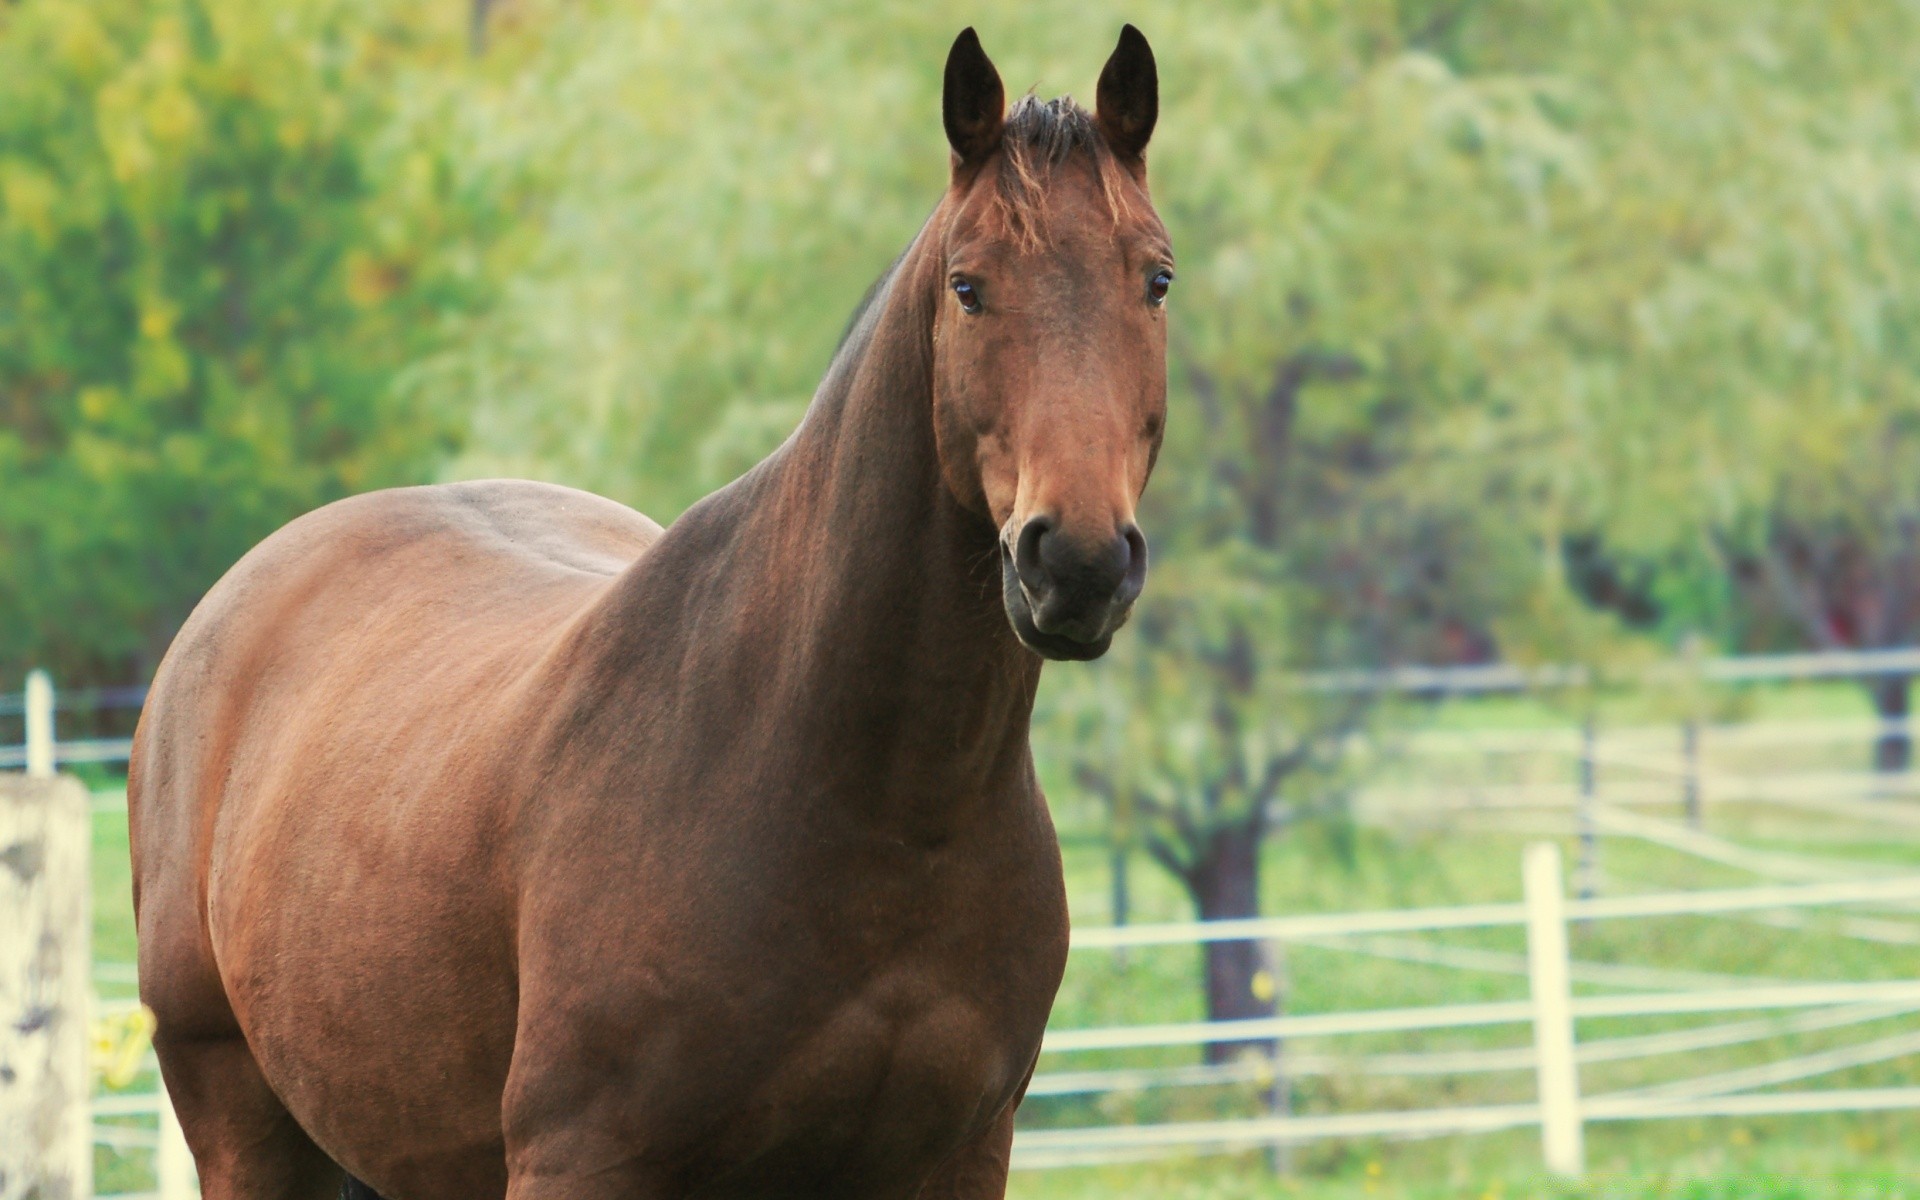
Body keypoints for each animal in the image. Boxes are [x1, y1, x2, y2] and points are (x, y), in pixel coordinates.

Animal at [127, 28, 1167, 1198]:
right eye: (968, 287)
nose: (1075, 561)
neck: (876, 801)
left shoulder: (957, 1155)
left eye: (1157, 279)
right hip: (243, 1123)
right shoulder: (582, 1156)